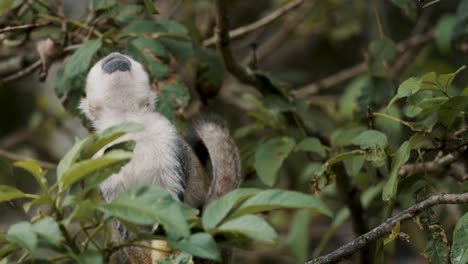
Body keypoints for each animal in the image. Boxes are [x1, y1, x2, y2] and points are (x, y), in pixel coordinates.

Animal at [80, 52, 239, 262]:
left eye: (123, 57)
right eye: (106, 61)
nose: (115, 55)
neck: (128, 122)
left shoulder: (167, 136)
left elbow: (169, 211)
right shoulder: (100, 154)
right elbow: (127, 223)